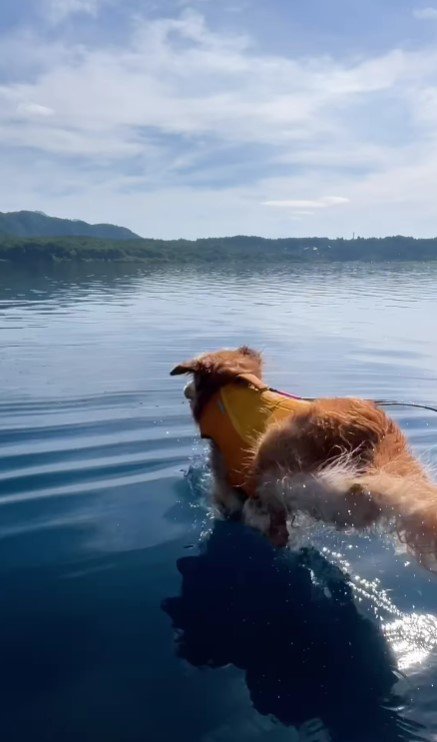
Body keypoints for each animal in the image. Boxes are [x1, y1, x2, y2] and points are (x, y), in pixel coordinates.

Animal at [169, 348, 436, 568]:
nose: (184, 390)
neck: (232, 381)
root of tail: (379, 431)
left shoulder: (225, 474)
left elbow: (229, 501)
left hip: (273, 446)